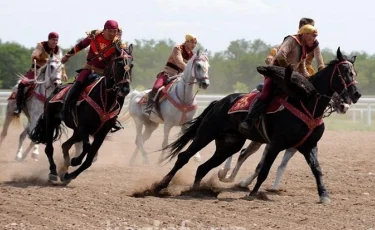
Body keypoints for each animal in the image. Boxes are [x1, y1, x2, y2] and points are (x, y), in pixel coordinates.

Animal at [29, 44, 135, 184]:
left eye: (131, 65)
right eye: (118, 64)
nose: (125, 89)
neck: (104, 99)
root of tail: (55, 91)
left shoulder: (101, 133)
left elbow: (89, 159)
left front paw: (69, 175)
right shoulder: (83, 127)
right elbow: (87, 147)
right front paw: (75, 161)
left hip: (76, 131)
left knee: (65, 145)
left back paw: (64, 168)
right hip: (51, 121)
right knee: (49, 148)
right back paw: (53, 172)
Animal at [217, 90, 352, 190]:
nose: (345, 106)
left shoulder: (294, 147)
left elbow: (280, 166)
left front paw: (274, 187)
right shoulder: (274, 144)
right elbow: (261, 165)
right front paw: (245, 182)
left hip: (257, 140)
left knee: (243, 153)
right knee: (239, 152)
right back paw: (225, 173)